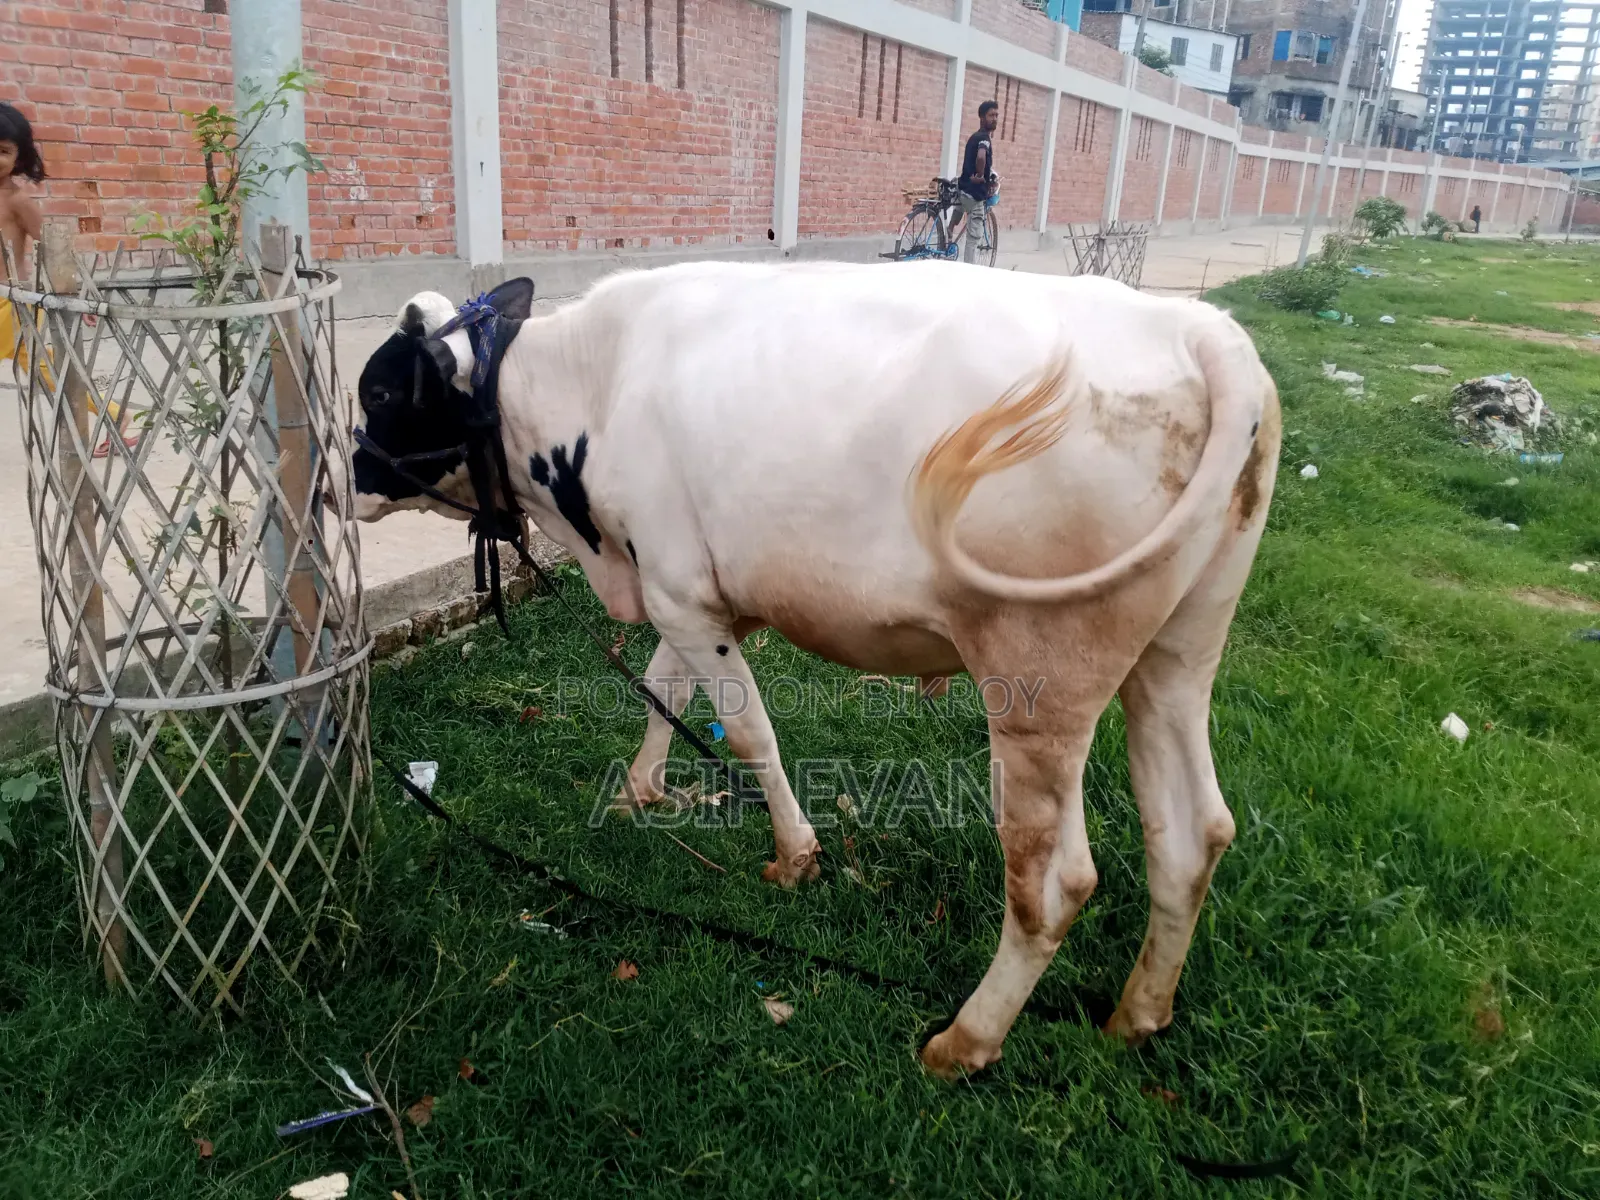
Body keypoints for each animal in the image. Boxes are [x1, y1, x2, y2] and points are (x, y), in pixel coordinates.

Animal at [333, 260, 1281, 1079]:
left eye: (379, 392)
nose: (348, 477)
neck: (592, 385)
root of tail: (1201, 331)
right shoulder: (688, 588)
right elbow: (664, 688)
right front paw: (642, 790)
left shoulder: (681, 591)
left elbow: (748, 729)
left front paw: (795, 855)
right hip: (1178, 655)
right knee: (1194, 832)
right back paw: (1137, 1015)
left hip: (1039, 680)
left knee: (1053, 883)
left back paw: (965, 1042)